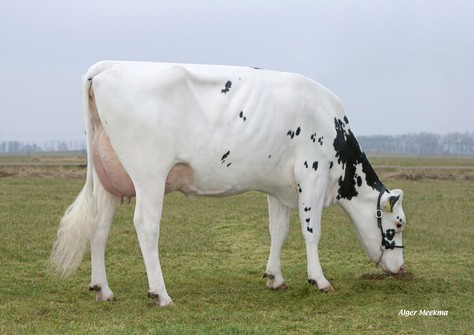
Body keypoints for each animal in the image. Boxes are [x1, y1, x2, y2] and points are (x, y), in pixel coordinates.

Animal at [51, 61, 408, 308]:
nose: (401, 269)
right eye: (398, 224)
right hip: (149, 174)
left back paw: (103, 289)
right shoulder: (312, 174)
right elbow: (311, 231)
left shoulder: (279, 187)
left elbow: (278, 230)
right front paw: (319, 280)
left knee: (99, 227)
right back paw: (161, 294)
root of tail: (110, 65)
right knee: (146, 226)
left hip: (108, 179)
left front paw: (275, 277)